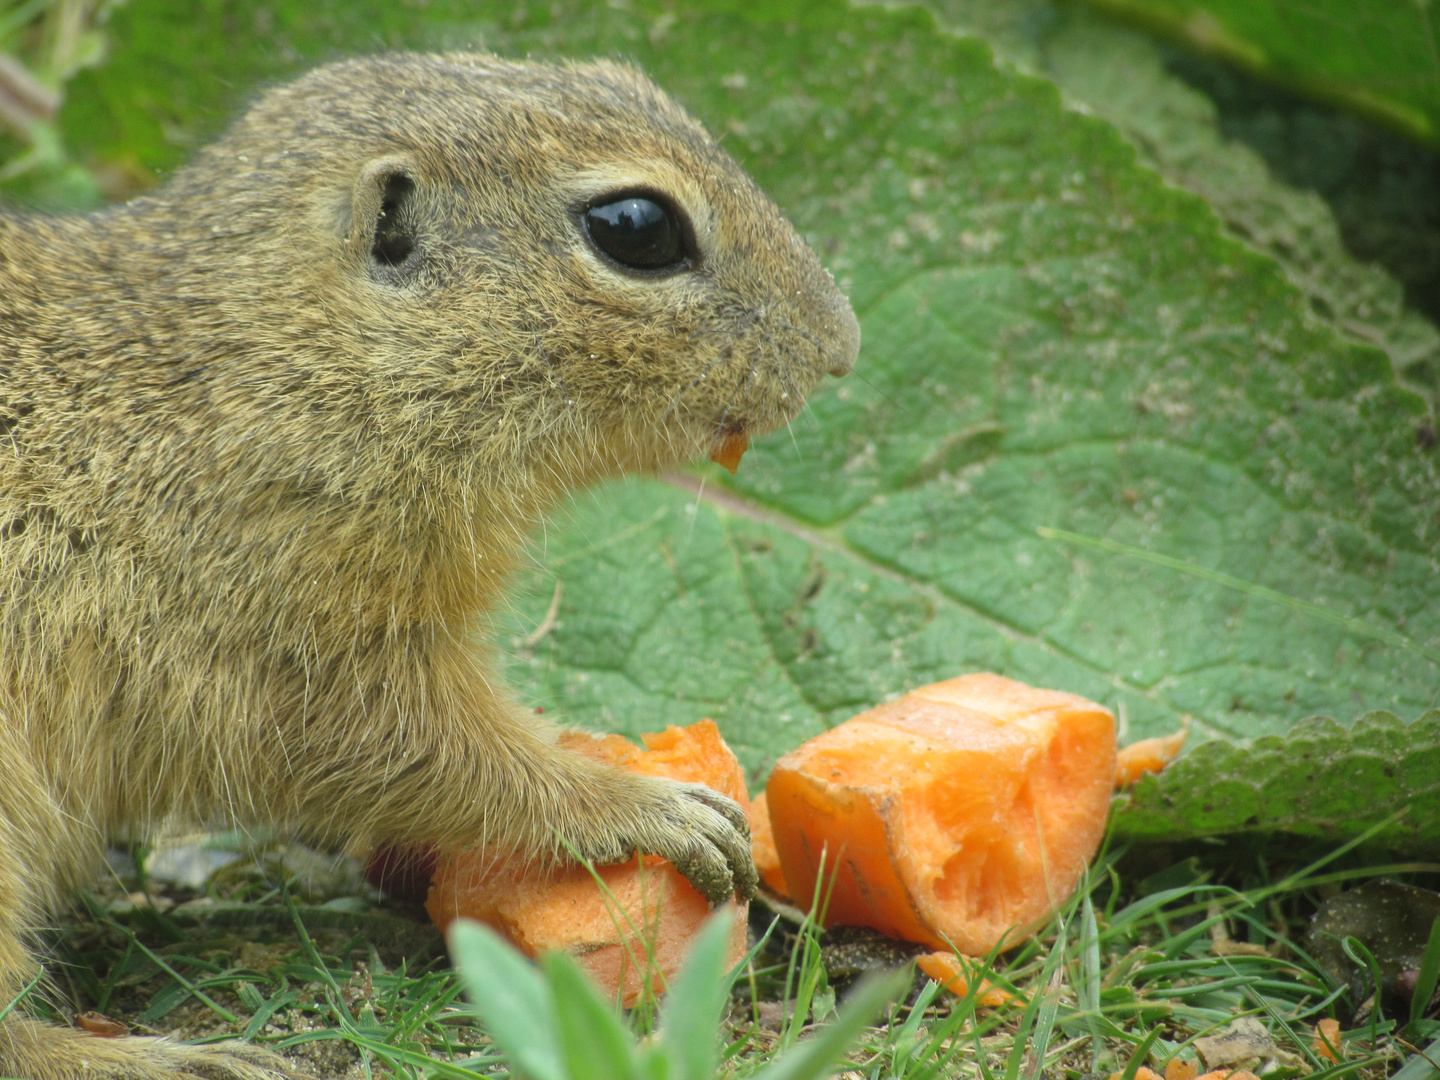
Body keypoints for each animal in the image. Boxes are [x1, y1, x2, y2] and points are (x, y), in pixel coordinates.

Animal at [0, 52, 852, 1080]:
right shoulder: (298, 645)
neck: (278, 363)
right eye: (637, 229)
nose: (843, 342)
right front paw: (643, 804)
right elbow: (444, 758)